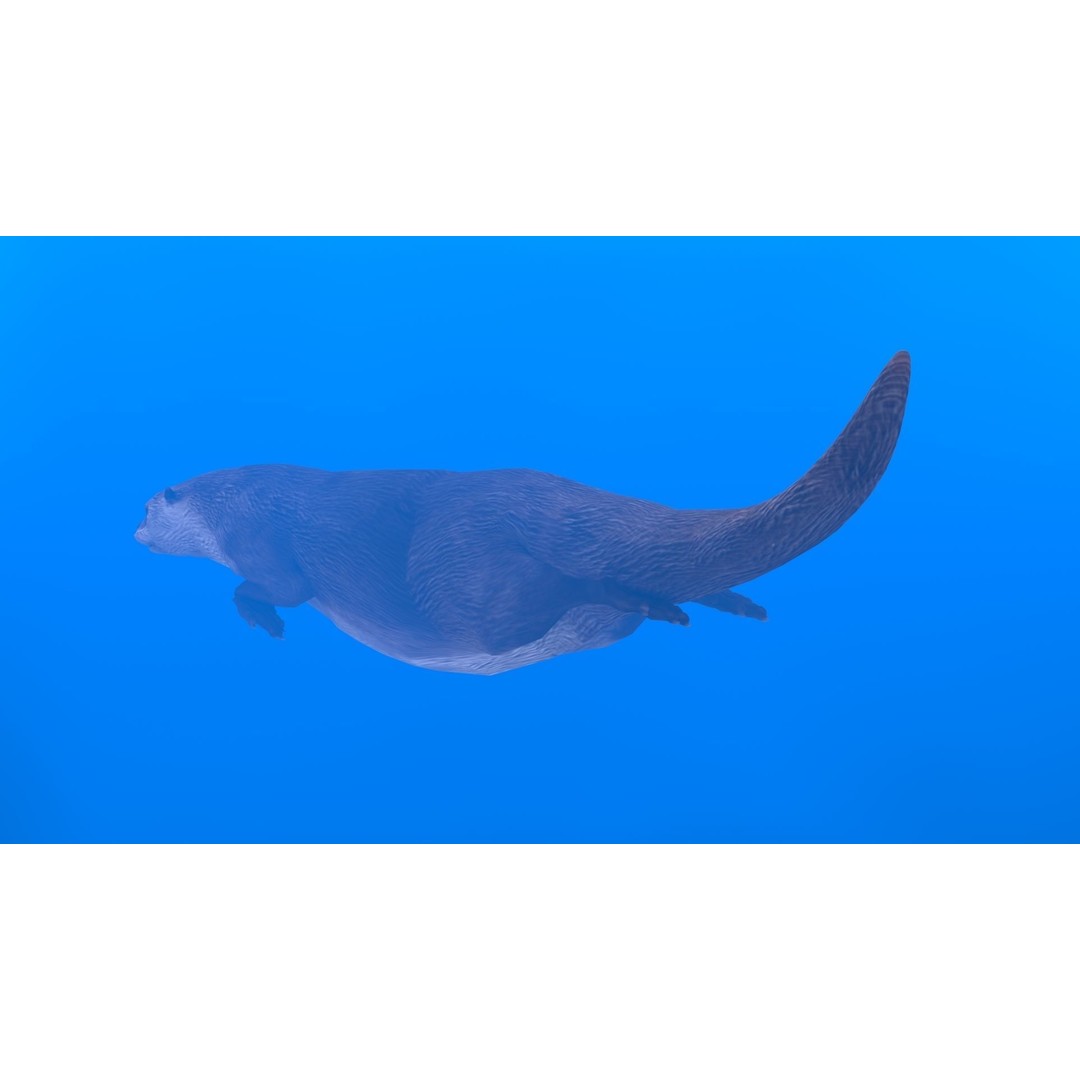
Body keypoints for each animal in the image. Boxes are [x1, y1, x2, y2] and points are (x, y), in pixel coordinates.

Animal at [135, 351, 910, 674]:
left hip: (458, 577)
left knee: (548, 596)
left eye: (146, 505)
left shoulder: (255, 533)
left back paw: (656, 602)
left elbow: (278, 587)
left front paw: (263, 621)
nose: (133, 528)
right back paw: (723, 602)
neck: (233, 497)